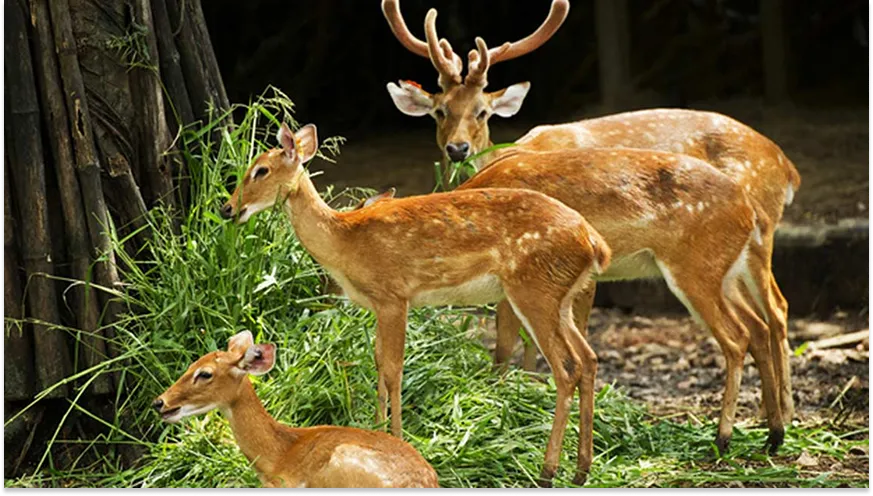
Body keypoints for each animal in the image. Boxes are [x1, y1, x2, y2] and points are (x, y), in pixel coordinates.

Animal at [220, 122, 612, 487]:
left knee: (567, 367)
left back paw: (547, 471)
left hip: (534, 291)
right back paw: (582, 470)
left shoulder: (395, 295)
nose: (227, 208)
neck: (344, 240)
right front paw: (378, 429)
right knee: (589, 358)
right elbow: (379, 362)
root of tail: (595, 242)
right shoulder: (379, 305)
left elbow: (394, 369)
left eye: (260, 170)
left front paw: (396, 435)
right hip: (560, 297)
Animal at [383, 0, 800, 425]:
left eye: (482, 111)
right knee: (760, 322)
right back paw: (770, 416)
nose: (457, 149)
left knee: (776, 310)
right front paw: (524, 391)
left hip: (757, 240)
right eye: (440, 111)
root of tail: (786, 168)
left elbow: (519, 339)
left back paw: (780, 413)